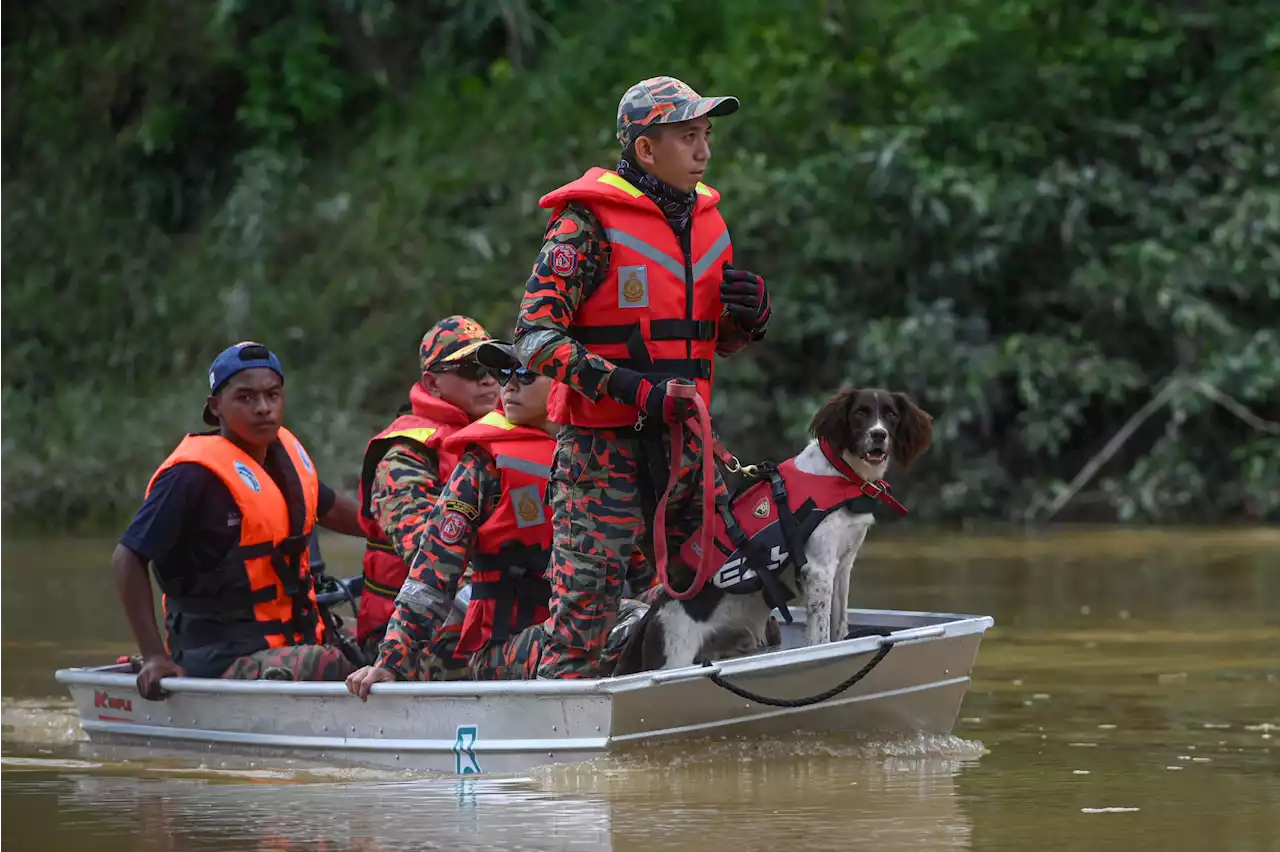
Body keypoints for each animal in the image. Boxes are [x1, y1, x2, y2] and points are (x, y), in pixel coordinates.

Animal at [614, 383, 936, 670]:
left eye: (891, 414)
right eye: (860, 413)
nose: (878, 435)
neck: (842, 473)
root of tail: (652, 614)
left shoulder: (843, 564)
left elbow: (839, 624)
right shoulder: (818, 568)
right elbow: (820, 637)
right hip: (675, 657)